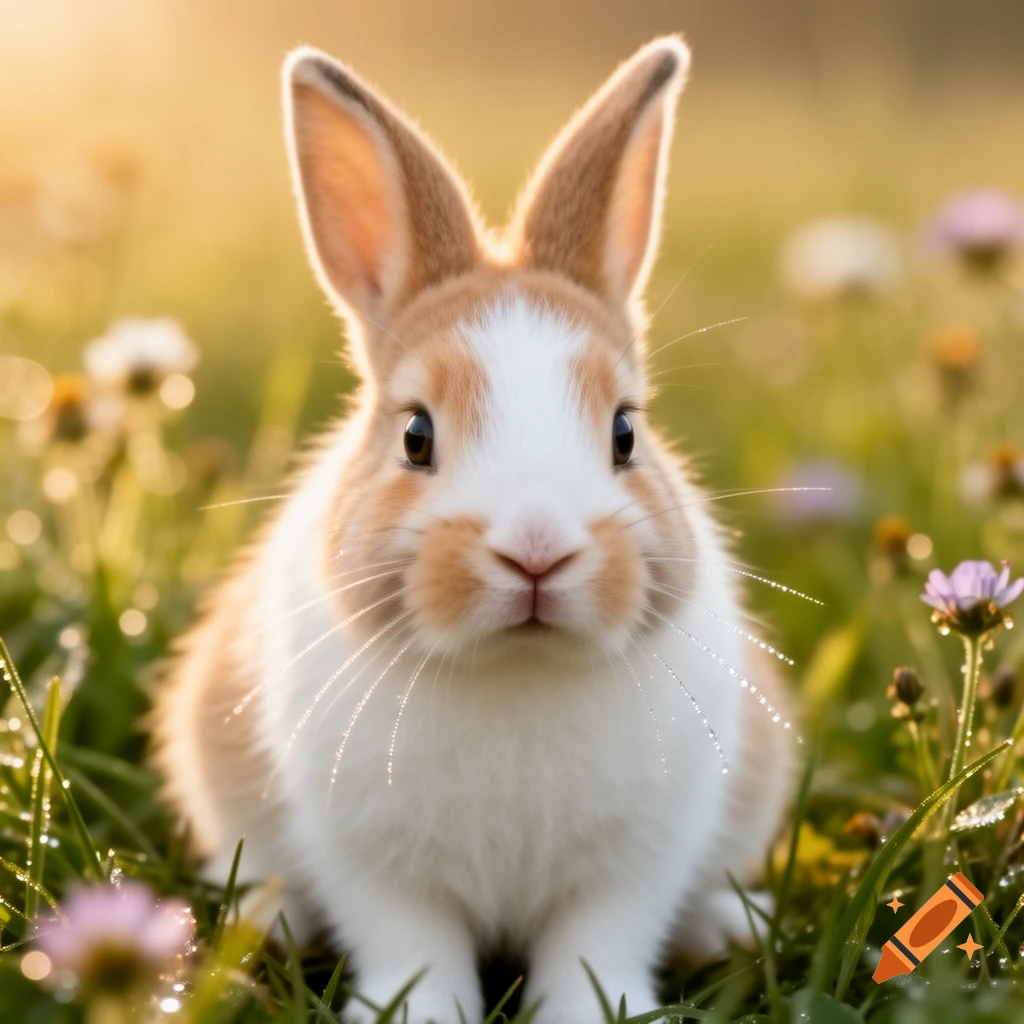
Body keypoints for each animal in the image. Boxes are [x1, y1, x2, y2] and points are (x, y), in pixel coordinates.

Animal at [151, 34, 798, 1024]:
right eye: (416, 435)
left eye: (626, 432)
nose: (537, 550)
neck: (515, 667)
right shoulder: (374, 865)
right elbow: (413, 945)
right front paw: (417, 1013)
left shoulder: (632, 866)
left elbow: (597, 948)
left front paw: (596, 1013)